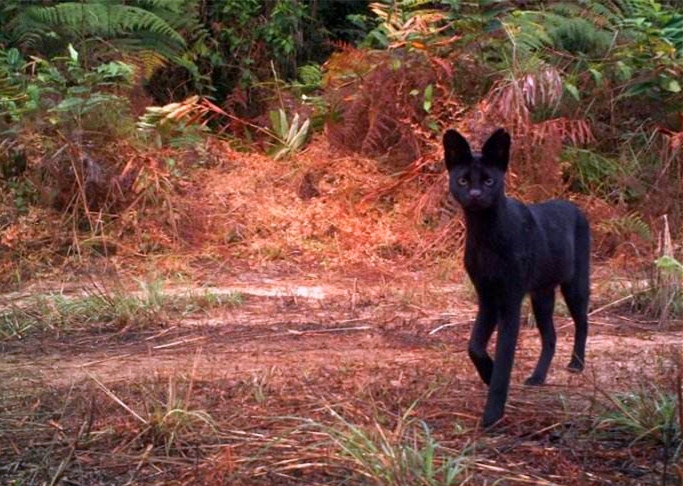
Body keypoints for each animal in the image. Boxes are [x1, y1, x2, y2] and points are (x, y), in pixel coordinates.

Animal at [446, 127, 592, 428]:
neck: (486, 236)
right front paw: (487, 372)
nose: (475, 194)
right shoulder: (487, 297)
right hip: (541, 295)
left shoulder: (509, 302)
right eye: (463, 180)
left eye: (489, 180)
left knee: (583, 323)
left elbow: (505, 358)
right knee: (550, 337)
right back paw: (537, 377)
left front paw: (492, 414)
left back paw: (576, 364)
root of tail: (573, 206)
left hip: (575, 285)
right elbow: (474, 346)